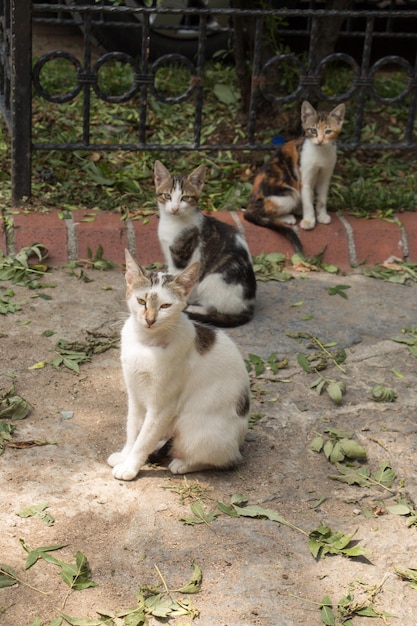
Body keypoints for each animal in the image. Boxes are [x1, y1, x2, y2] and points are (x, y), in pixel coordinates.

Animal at [108, 247, 250, 478]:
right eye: (141, 301)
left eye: (165, 306)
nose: (149, 320)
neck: (145, 343)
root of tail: (239, 443)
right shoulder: (135, 393)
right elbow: (133, 429)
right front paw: (124, 455)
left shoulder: (163, 405)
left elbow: (144, 438)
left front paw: (130, 467)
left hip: (194, 429)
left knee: (227, 460)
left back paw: (183, 464)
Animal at [154, 160, 255, 326]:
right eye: (167, 196)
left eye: (185, 198)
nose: (175, 208)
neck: (173, 222)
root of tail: (249, 306)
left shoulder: (180, 258)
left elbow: (177, 278)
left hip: (214, 281)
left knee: (214, 309)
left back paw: (193, 308)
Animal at [244, 100, 344, 241]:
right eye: (313, 130)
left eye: (328, 131)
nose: (320, 141)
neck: (320, 153)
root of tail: (250, 206)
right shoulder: (304, 178)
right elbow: (307, 202)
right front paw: (309, 220)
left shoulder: (326, 176)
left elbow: (322, 199)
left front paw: (322, 215)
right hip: (289, 194)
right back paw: (288, 217)